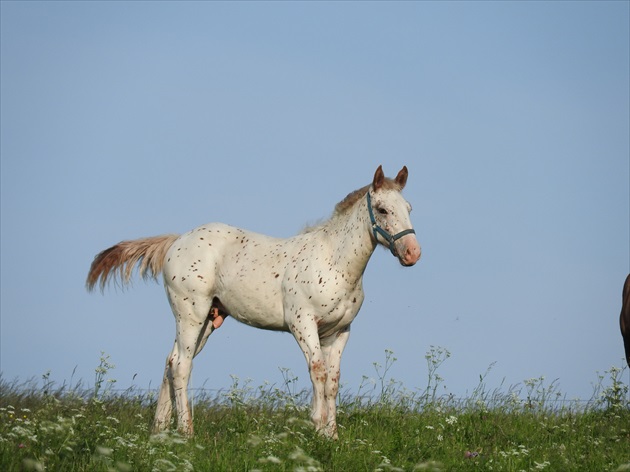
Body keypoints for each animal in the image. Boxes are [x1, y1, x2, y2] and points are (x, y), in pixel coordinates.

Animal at [86, 165, 422, 438]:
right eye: (382, 209)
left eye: (408, 207)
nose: (412, 253)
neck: (333, 262)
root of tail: (176, 241)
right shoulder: (302, 324)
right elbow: (317, 371)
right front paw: (318, 427)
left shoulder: (339, 332)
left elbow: (333, 380)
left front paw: (332, 435)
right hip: (191, 313)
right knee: (181, 365)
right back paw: (186, 432)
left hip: (207, 320)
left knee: (171, 361)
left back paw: (158, 430)